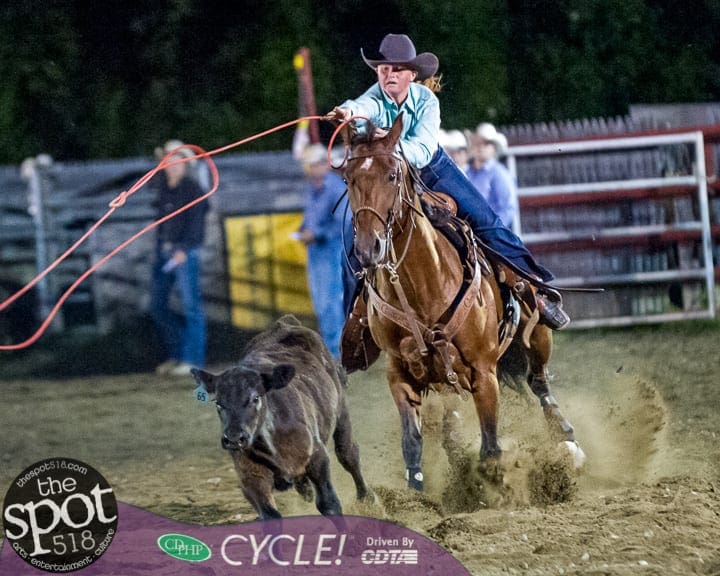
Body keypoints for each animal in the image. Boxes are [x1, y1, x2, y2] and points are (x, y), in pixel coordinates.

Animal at [340, 116, 584, 490]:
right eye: (349, 179)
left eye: (392, 175)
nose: (370, 248)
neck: (422, 287)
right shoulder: (399, 373)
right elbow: (412, 440)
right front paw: (415, 493)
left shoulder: (484, 372)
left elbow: (491, 445)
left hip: (537, 336)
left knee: (539, 383)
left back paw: (567, 440)